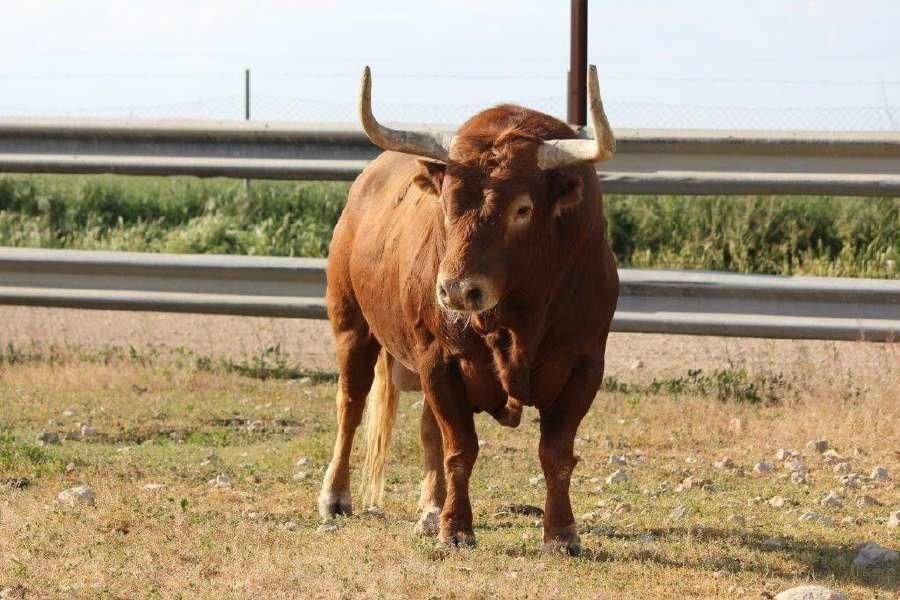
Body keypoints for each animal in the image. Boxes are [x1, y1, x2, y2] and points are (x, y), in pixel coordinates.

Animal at [316, 64, 620, 552]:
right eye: (445, 203)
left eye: (522, 209)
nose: (458, 291)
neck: (516, 321)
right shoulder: (440, 361)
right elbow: (460, 448)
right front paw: (456, 528)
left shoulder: (585, 364)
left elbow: (555, 454)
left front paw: (561, 533)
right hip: (351, 325)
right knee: (351, 404)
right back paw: (335, 497)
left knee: (426, 430)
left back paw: (429, 508)